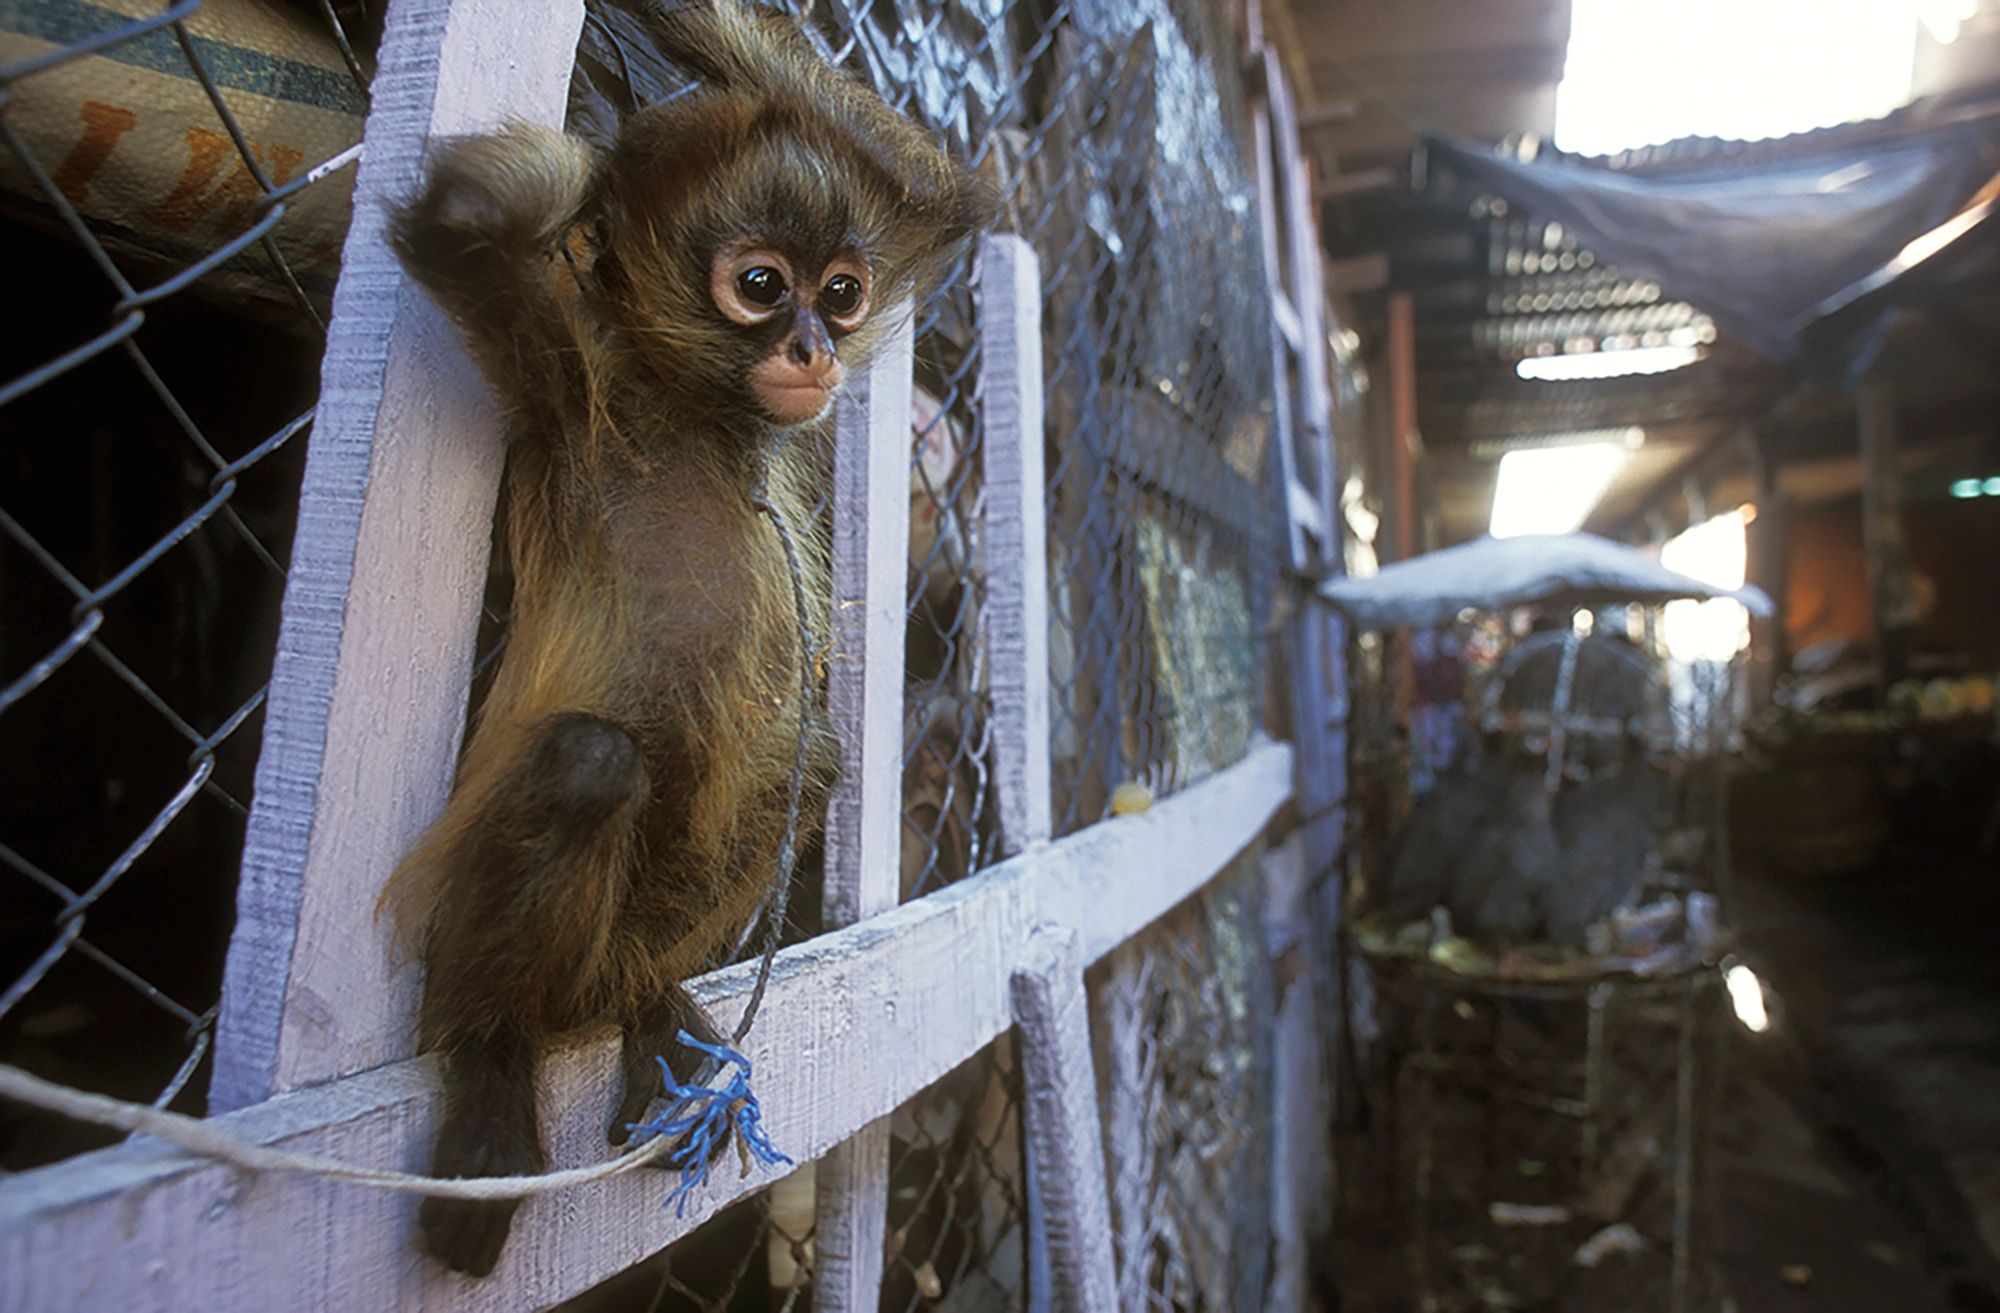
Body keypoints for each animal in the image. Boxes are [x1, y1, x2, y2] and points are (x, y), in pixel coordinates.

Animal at [382, 0, 993, 1276]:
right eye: (761, 285)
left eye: (844, 290)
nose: (813, 347)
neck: (695, 415)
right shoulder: (566, 380)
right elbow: (461, 238)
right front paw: (566, 171)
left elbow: (944, 193)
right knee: (587, 761)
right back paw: (496, 1049)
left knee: (812, 757)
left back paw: (647, 999)